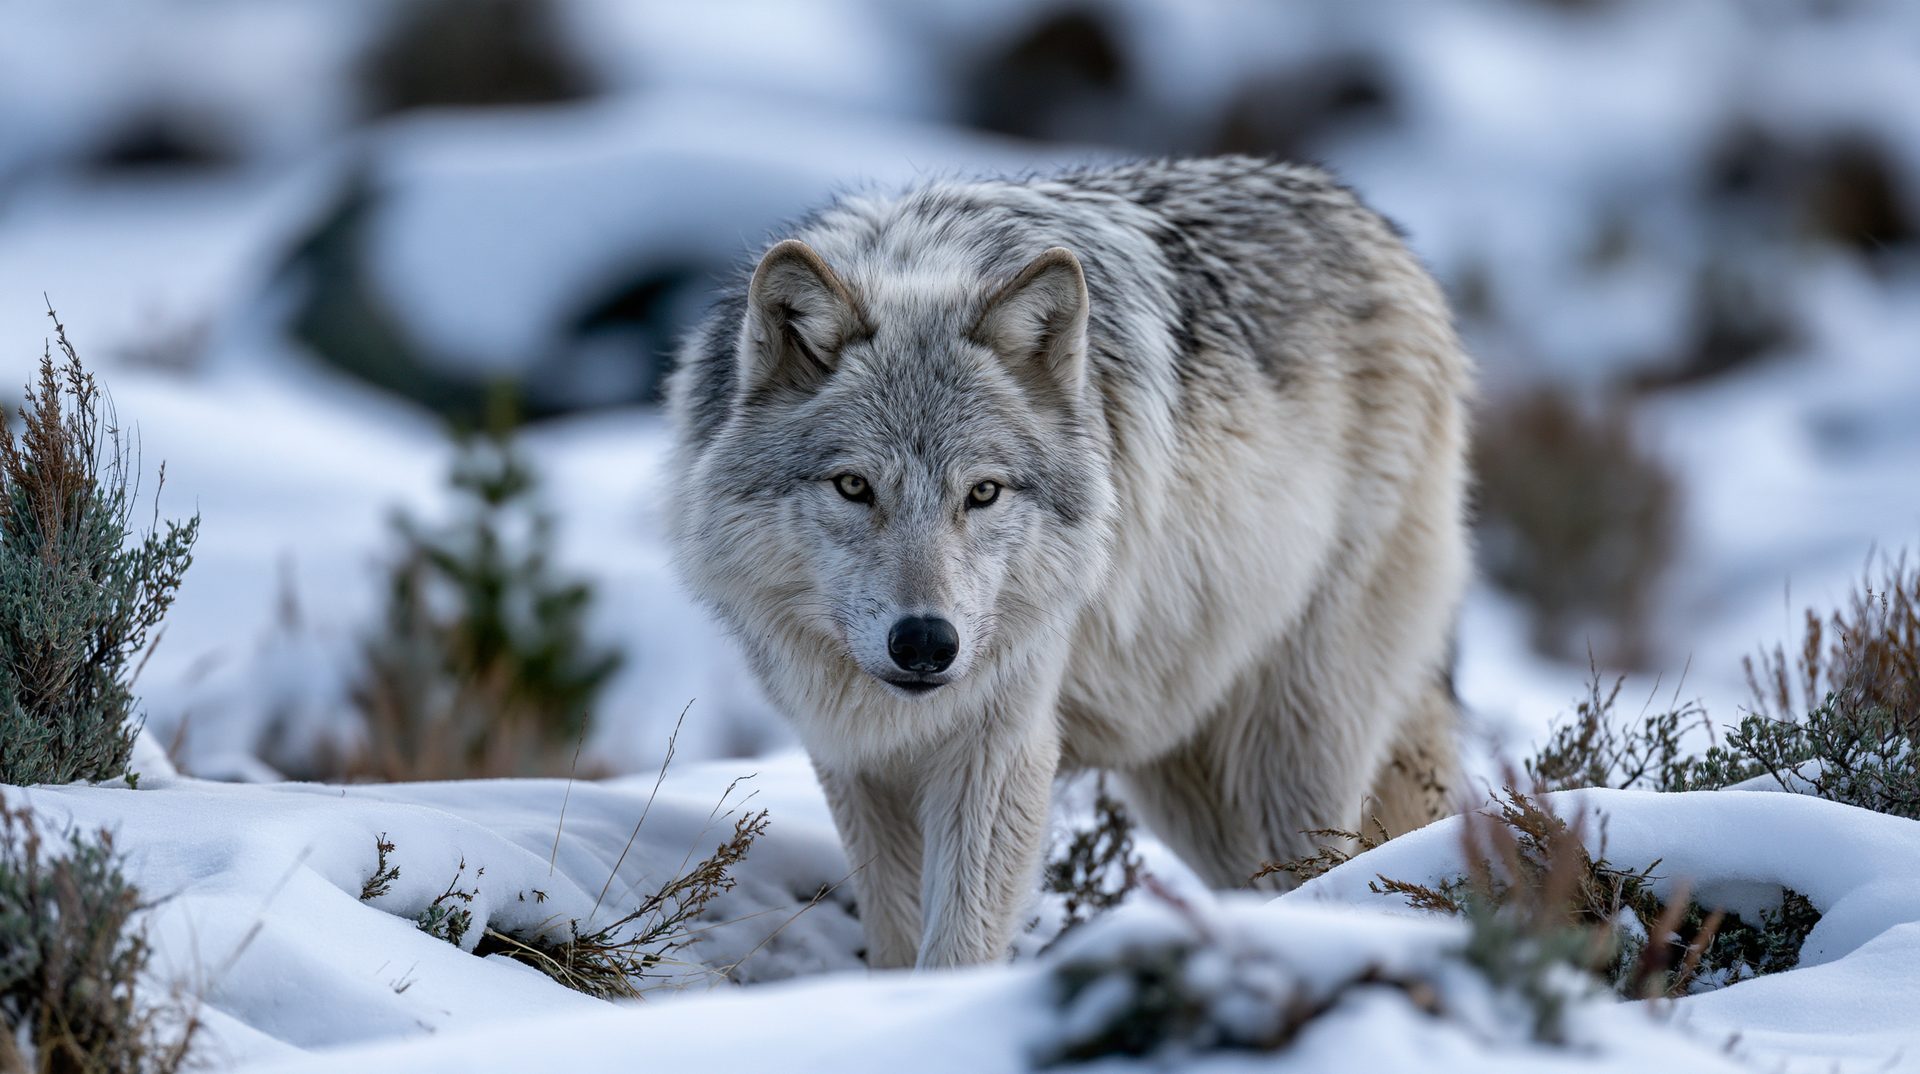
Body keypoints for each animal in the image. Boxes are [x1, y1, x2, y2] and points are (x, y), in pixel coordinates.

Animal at [666, 156, 1472, 970]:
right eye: (855, 486)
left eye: (983, 492)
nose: (925, 643)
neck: (917, 263)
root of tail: (1375, 224)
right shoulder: (853, 759)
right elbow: (895, 934)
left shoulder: (997, 747)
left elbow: (958, 944)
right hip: (1183, 770)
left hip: (1294, 744)